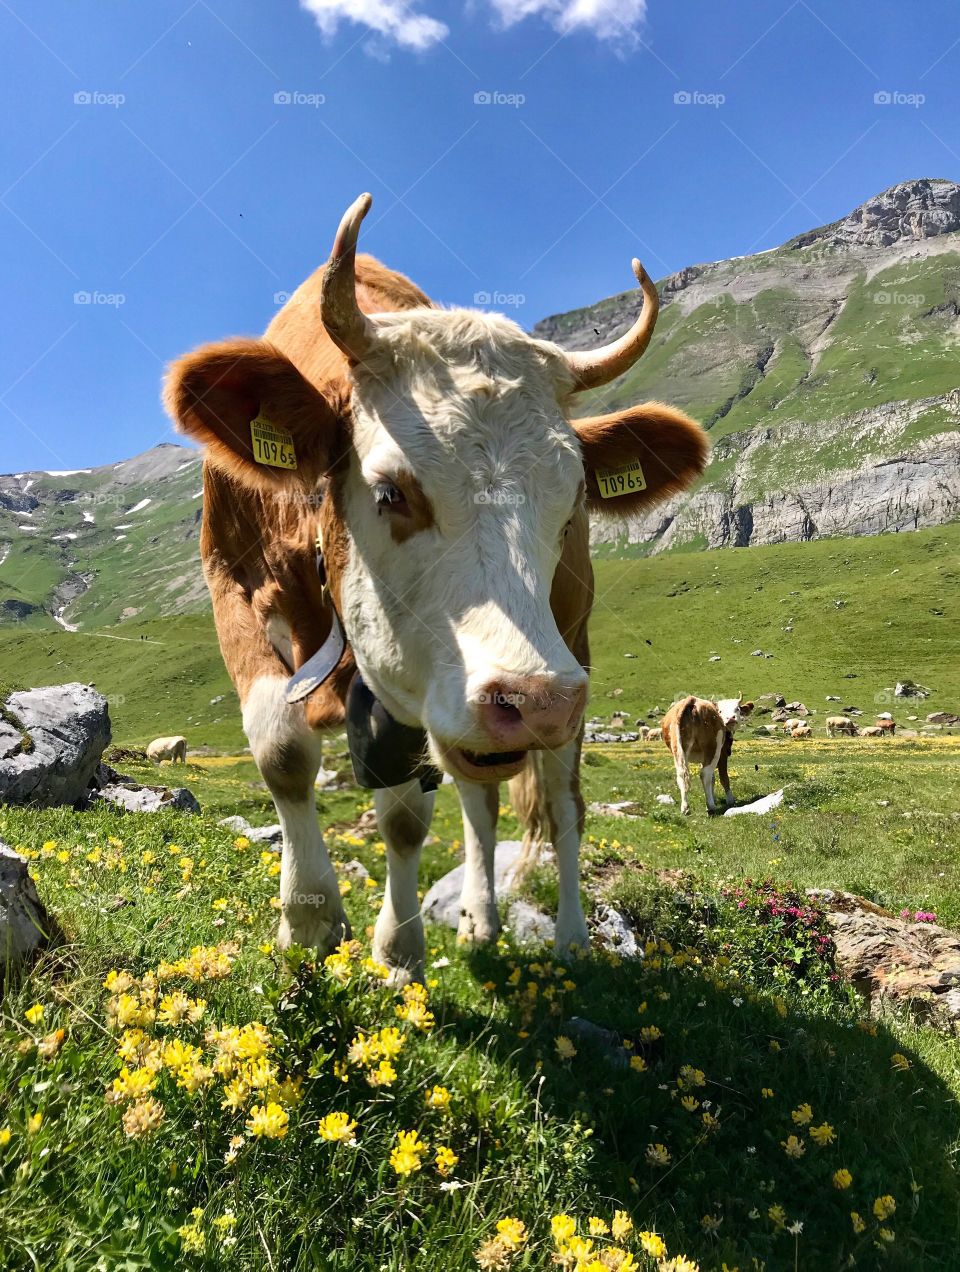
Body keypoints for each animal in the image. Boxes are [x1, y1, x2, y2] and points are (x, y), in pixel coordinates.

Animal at [164, 193, 708, 981]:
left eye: (572, 498)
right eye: (391, 491)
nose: (534, 700)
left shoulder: (418, 691)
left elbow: (404, 817)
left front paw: (397, 950)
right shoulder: (232, 585)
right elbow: (284, 753)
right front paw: (310, 918)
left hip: (562, 658)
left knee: (561, 805)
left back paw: (572, 941)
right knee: (480, 800)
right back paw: (480, 922)